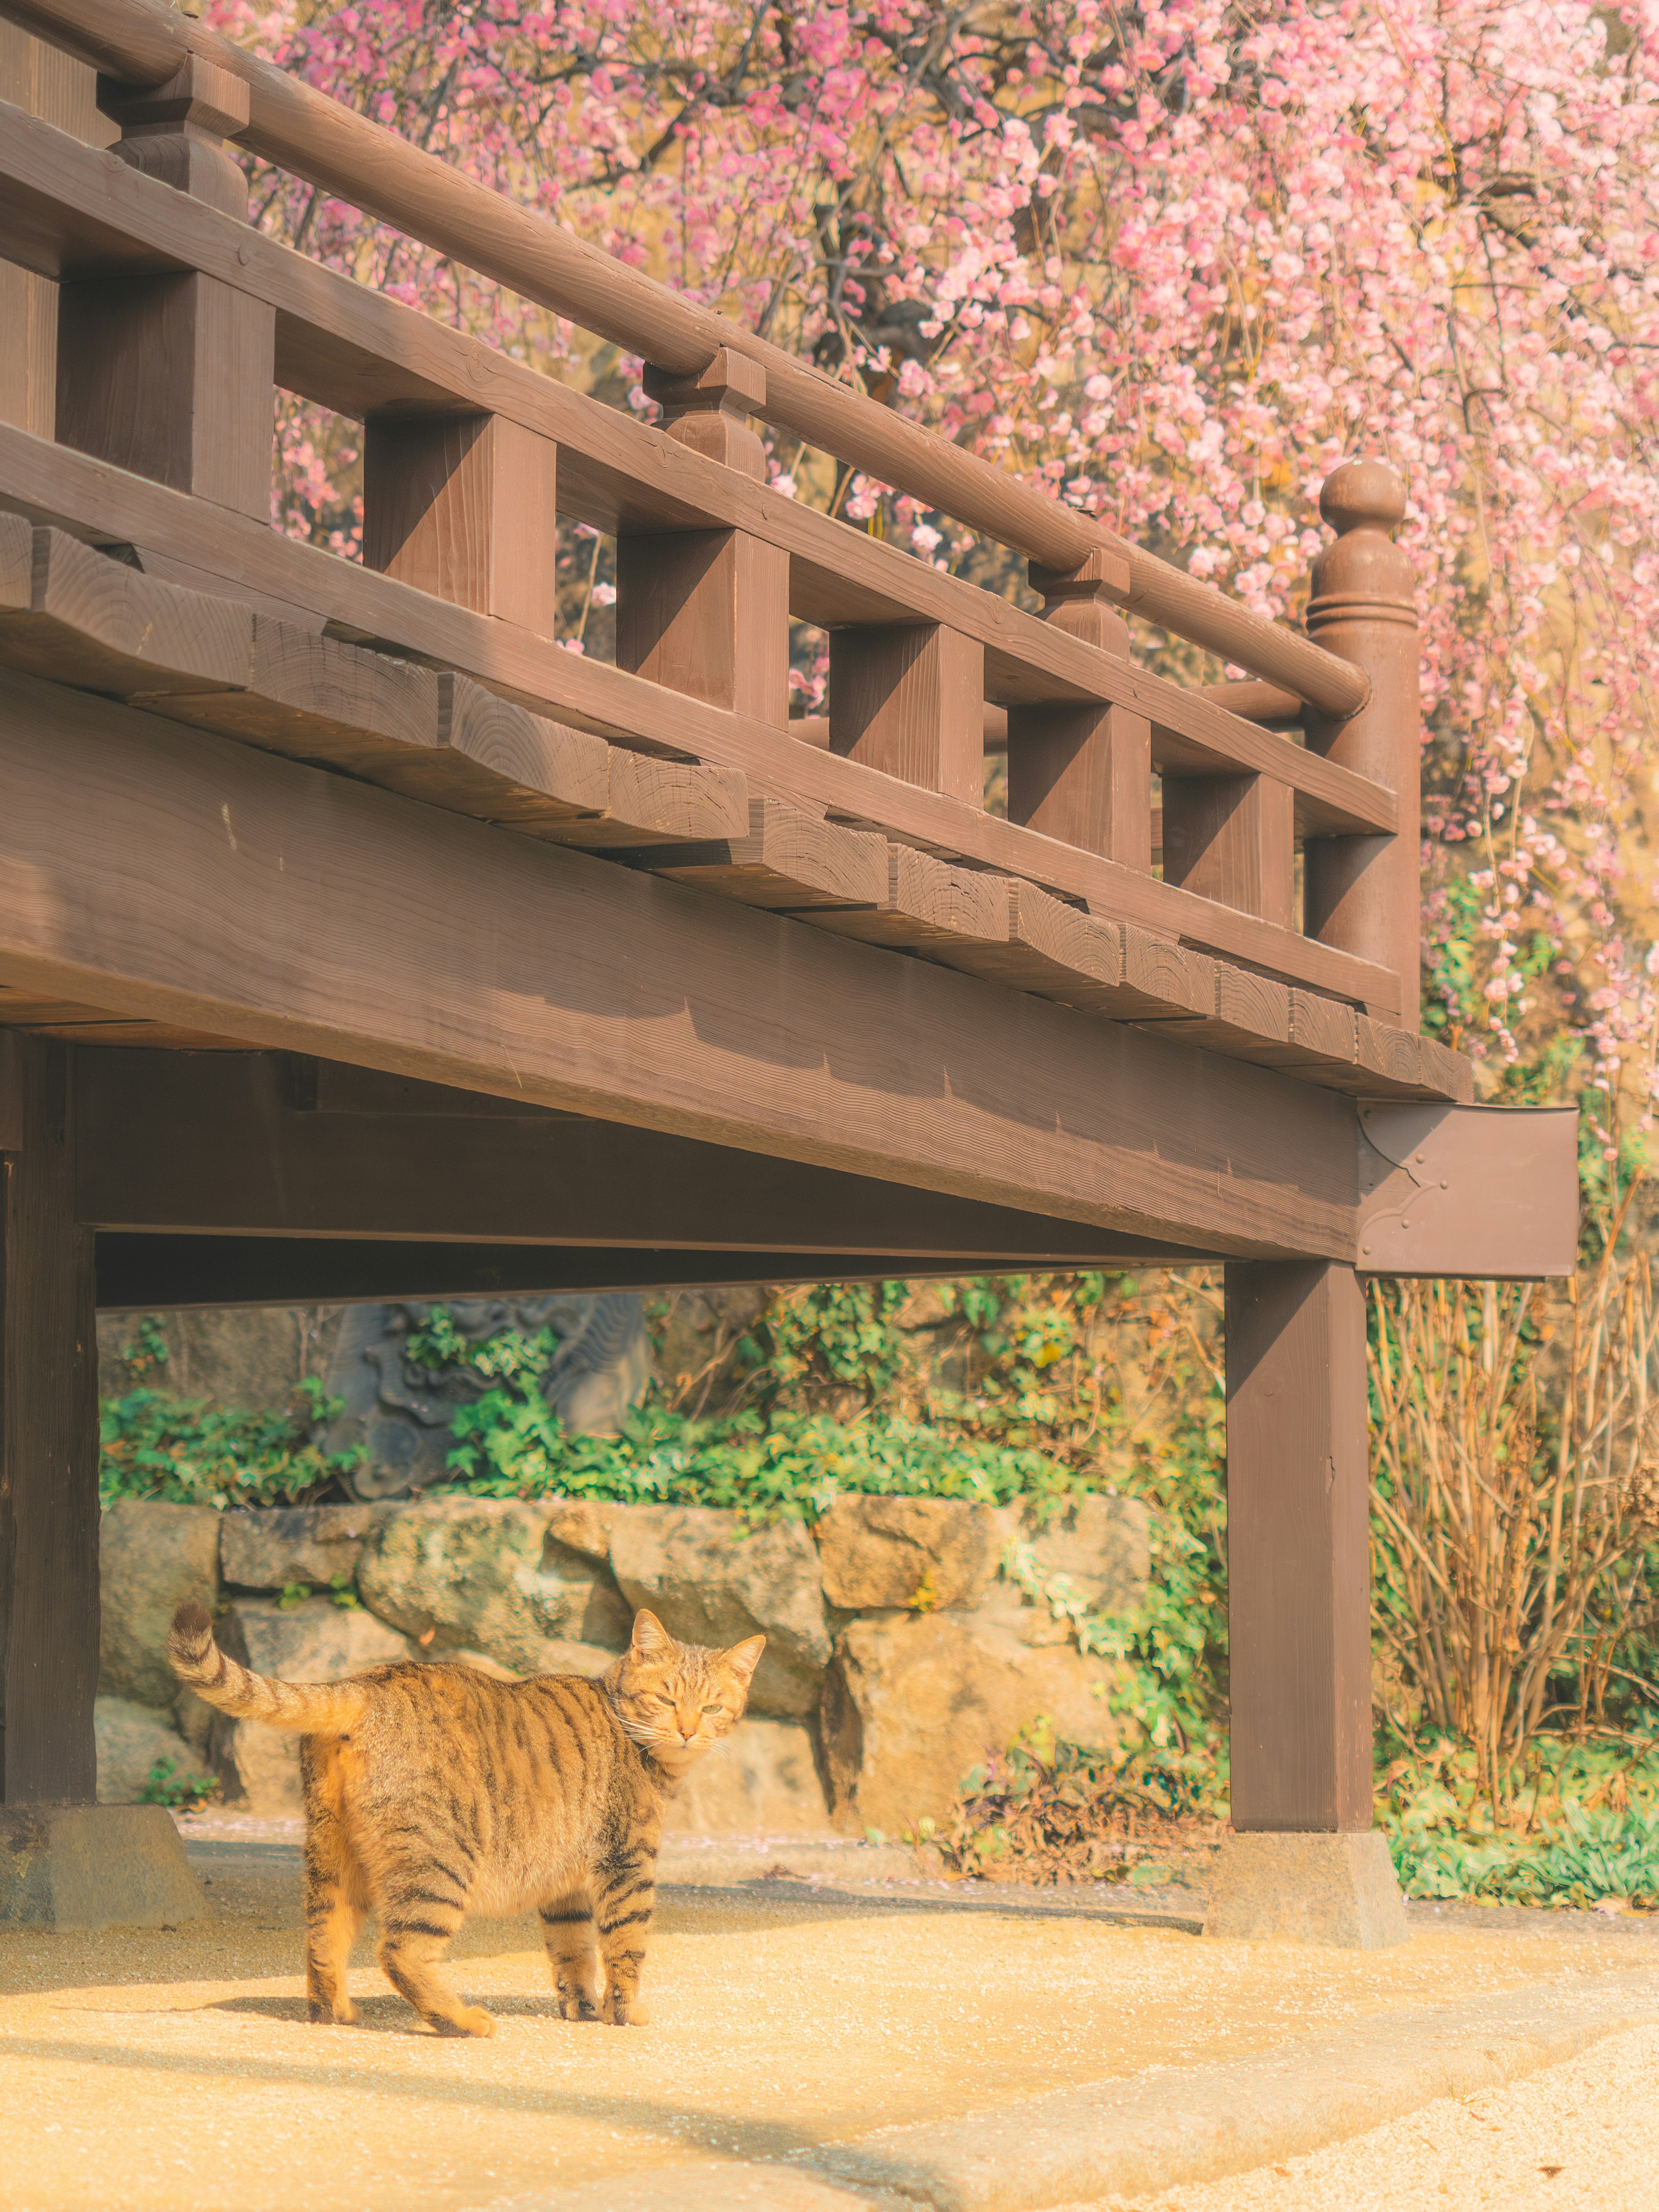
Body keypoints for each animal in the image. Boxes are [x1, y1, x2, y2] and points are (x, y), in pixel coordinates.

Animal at [169, 1592, 765, 2035]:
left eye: (713, 1706)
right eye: (665, 1699)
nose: (688, 1729)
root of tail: (365, 1683)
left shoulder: (567, 1885)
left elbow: (573, 1954)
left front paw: (581, 2007)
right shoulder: (627, 1863)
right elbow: (625, 1946)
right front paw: (624, 2011)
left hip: (332, 1857)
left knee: (322, 1941)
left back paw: (334, 2012)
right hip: (441, 1861)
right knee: (401, 1951)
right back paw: (460, 2019)